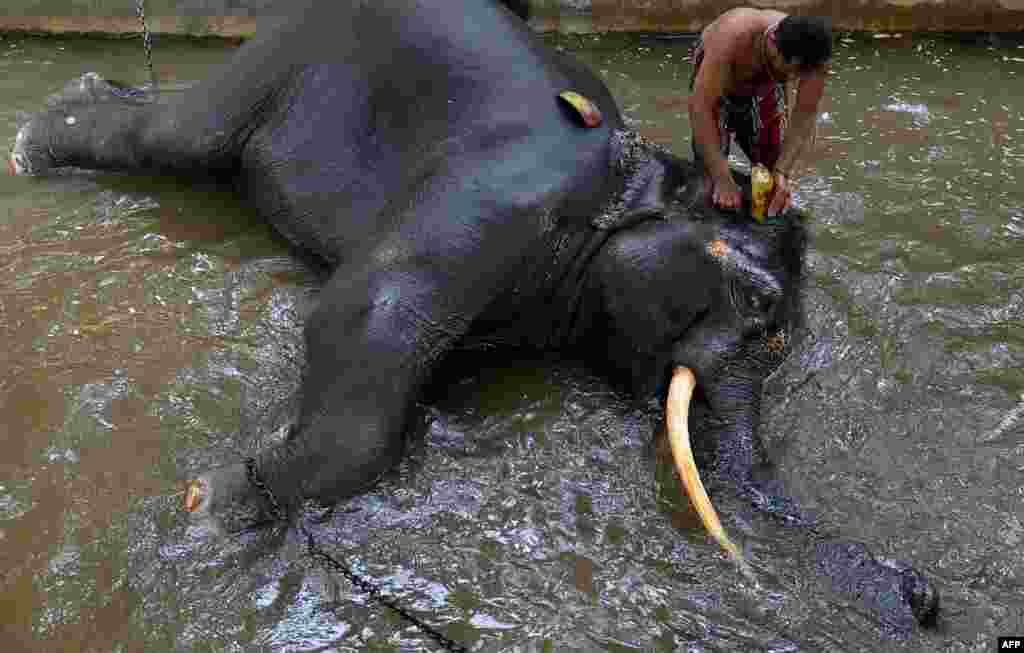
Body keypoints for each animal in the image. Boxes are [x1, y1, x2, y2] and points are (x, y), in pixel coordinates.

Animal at [8, 0, 937, 638]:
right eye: (761, 307)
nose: (925, 596)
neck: (637, 178)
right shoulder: (494, 202)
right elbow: (366, 306)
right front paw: (217, 500)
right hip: (286, 53)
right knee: (180, 138)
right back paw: (33, 143)